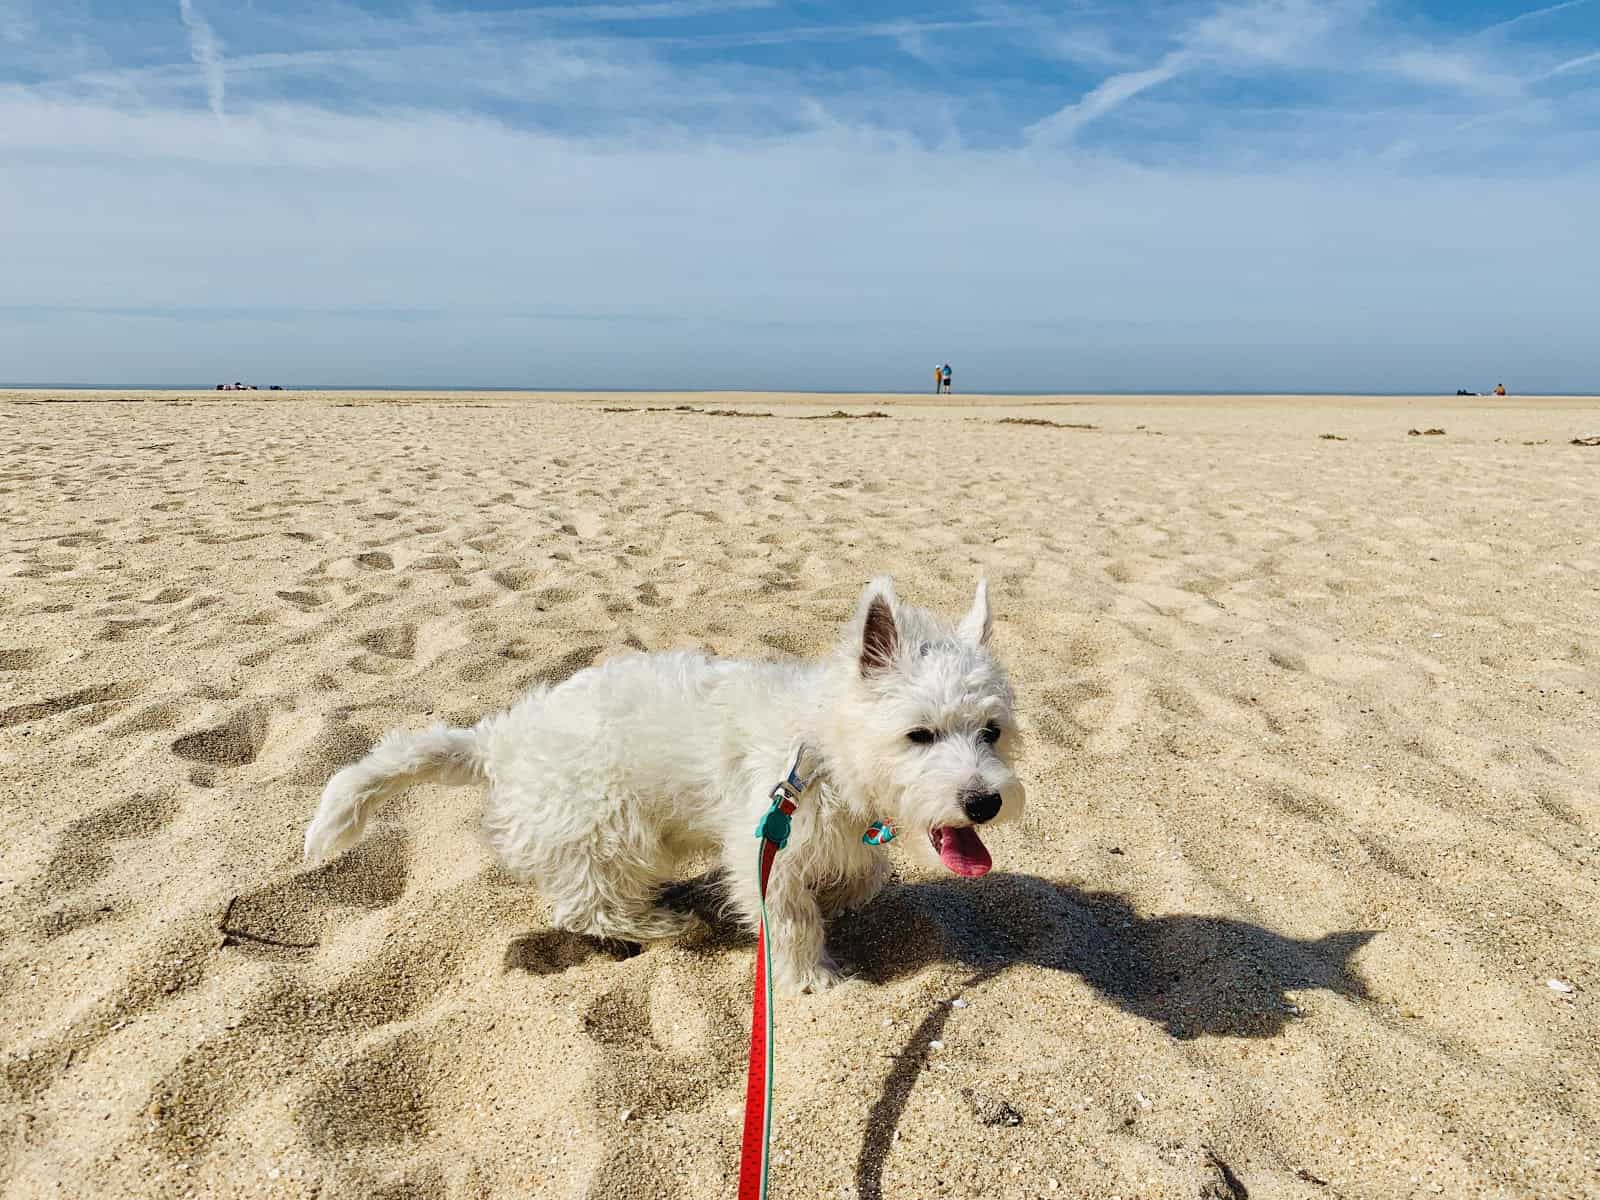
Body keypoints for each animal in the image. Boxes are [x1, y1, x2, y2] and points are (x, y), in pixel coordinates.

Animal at [300, 579, 1024, 992]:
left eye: (991, 731)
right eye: (919, 735)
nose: (984, 802)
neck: (819, 744)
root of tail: (501, 739)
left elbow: (867, 874)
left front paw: (844, 897)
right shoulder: (765, 846)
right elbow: (790, 922)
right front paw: (814, 980)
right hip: (609, 827)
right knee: (584, 905)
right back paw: (664, 922)